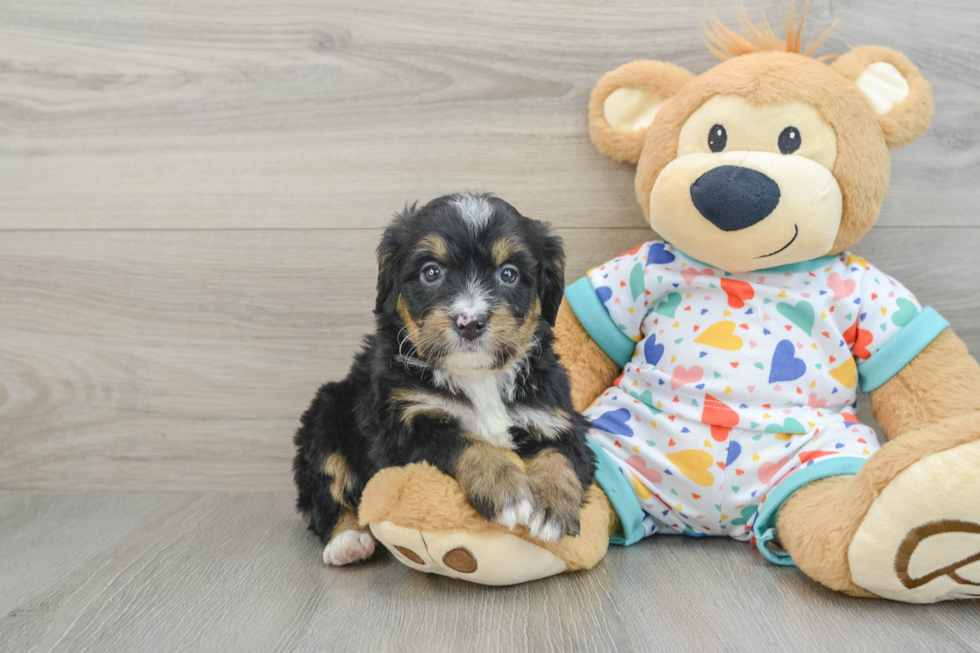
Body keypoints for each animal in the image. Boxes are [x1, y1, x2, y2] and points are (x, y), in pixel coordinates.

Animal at [294, 191, 592, 564]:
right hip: (325, 412)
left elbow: (560, 456)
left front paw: (553, 509)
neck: (477, 376)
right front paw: (506, 489)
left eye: (508, 274)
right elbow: (461, 440)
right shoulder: (399, 431)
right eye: (431, 272)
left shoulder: (558, 416)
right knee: (325, 490)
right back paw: (347, 540)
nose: (470, 322)